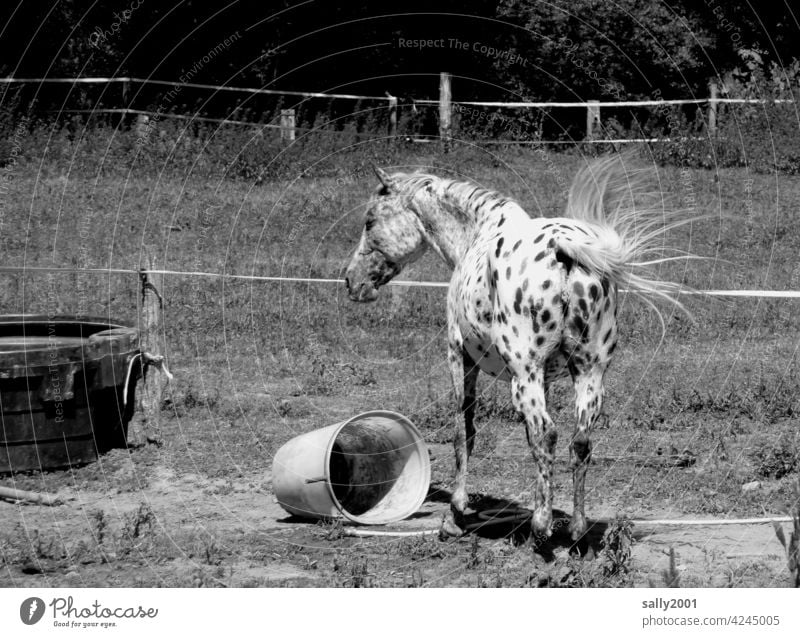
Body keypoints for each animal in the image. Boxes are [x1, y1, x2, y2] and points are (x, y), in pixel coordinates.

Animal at [344, 155, 700, 540]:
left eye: (369, 221)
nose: (351, 281)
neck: (478, 233)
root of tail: (561, 247)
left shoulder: (459, 357)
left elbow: (463, 432)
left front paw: (455, 514)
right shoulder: (547, 377)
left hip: (524, 374)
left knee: (546, 432)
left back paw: (541, 525)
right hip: (588, 374)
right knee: (578, 441)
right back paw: (575, 528)